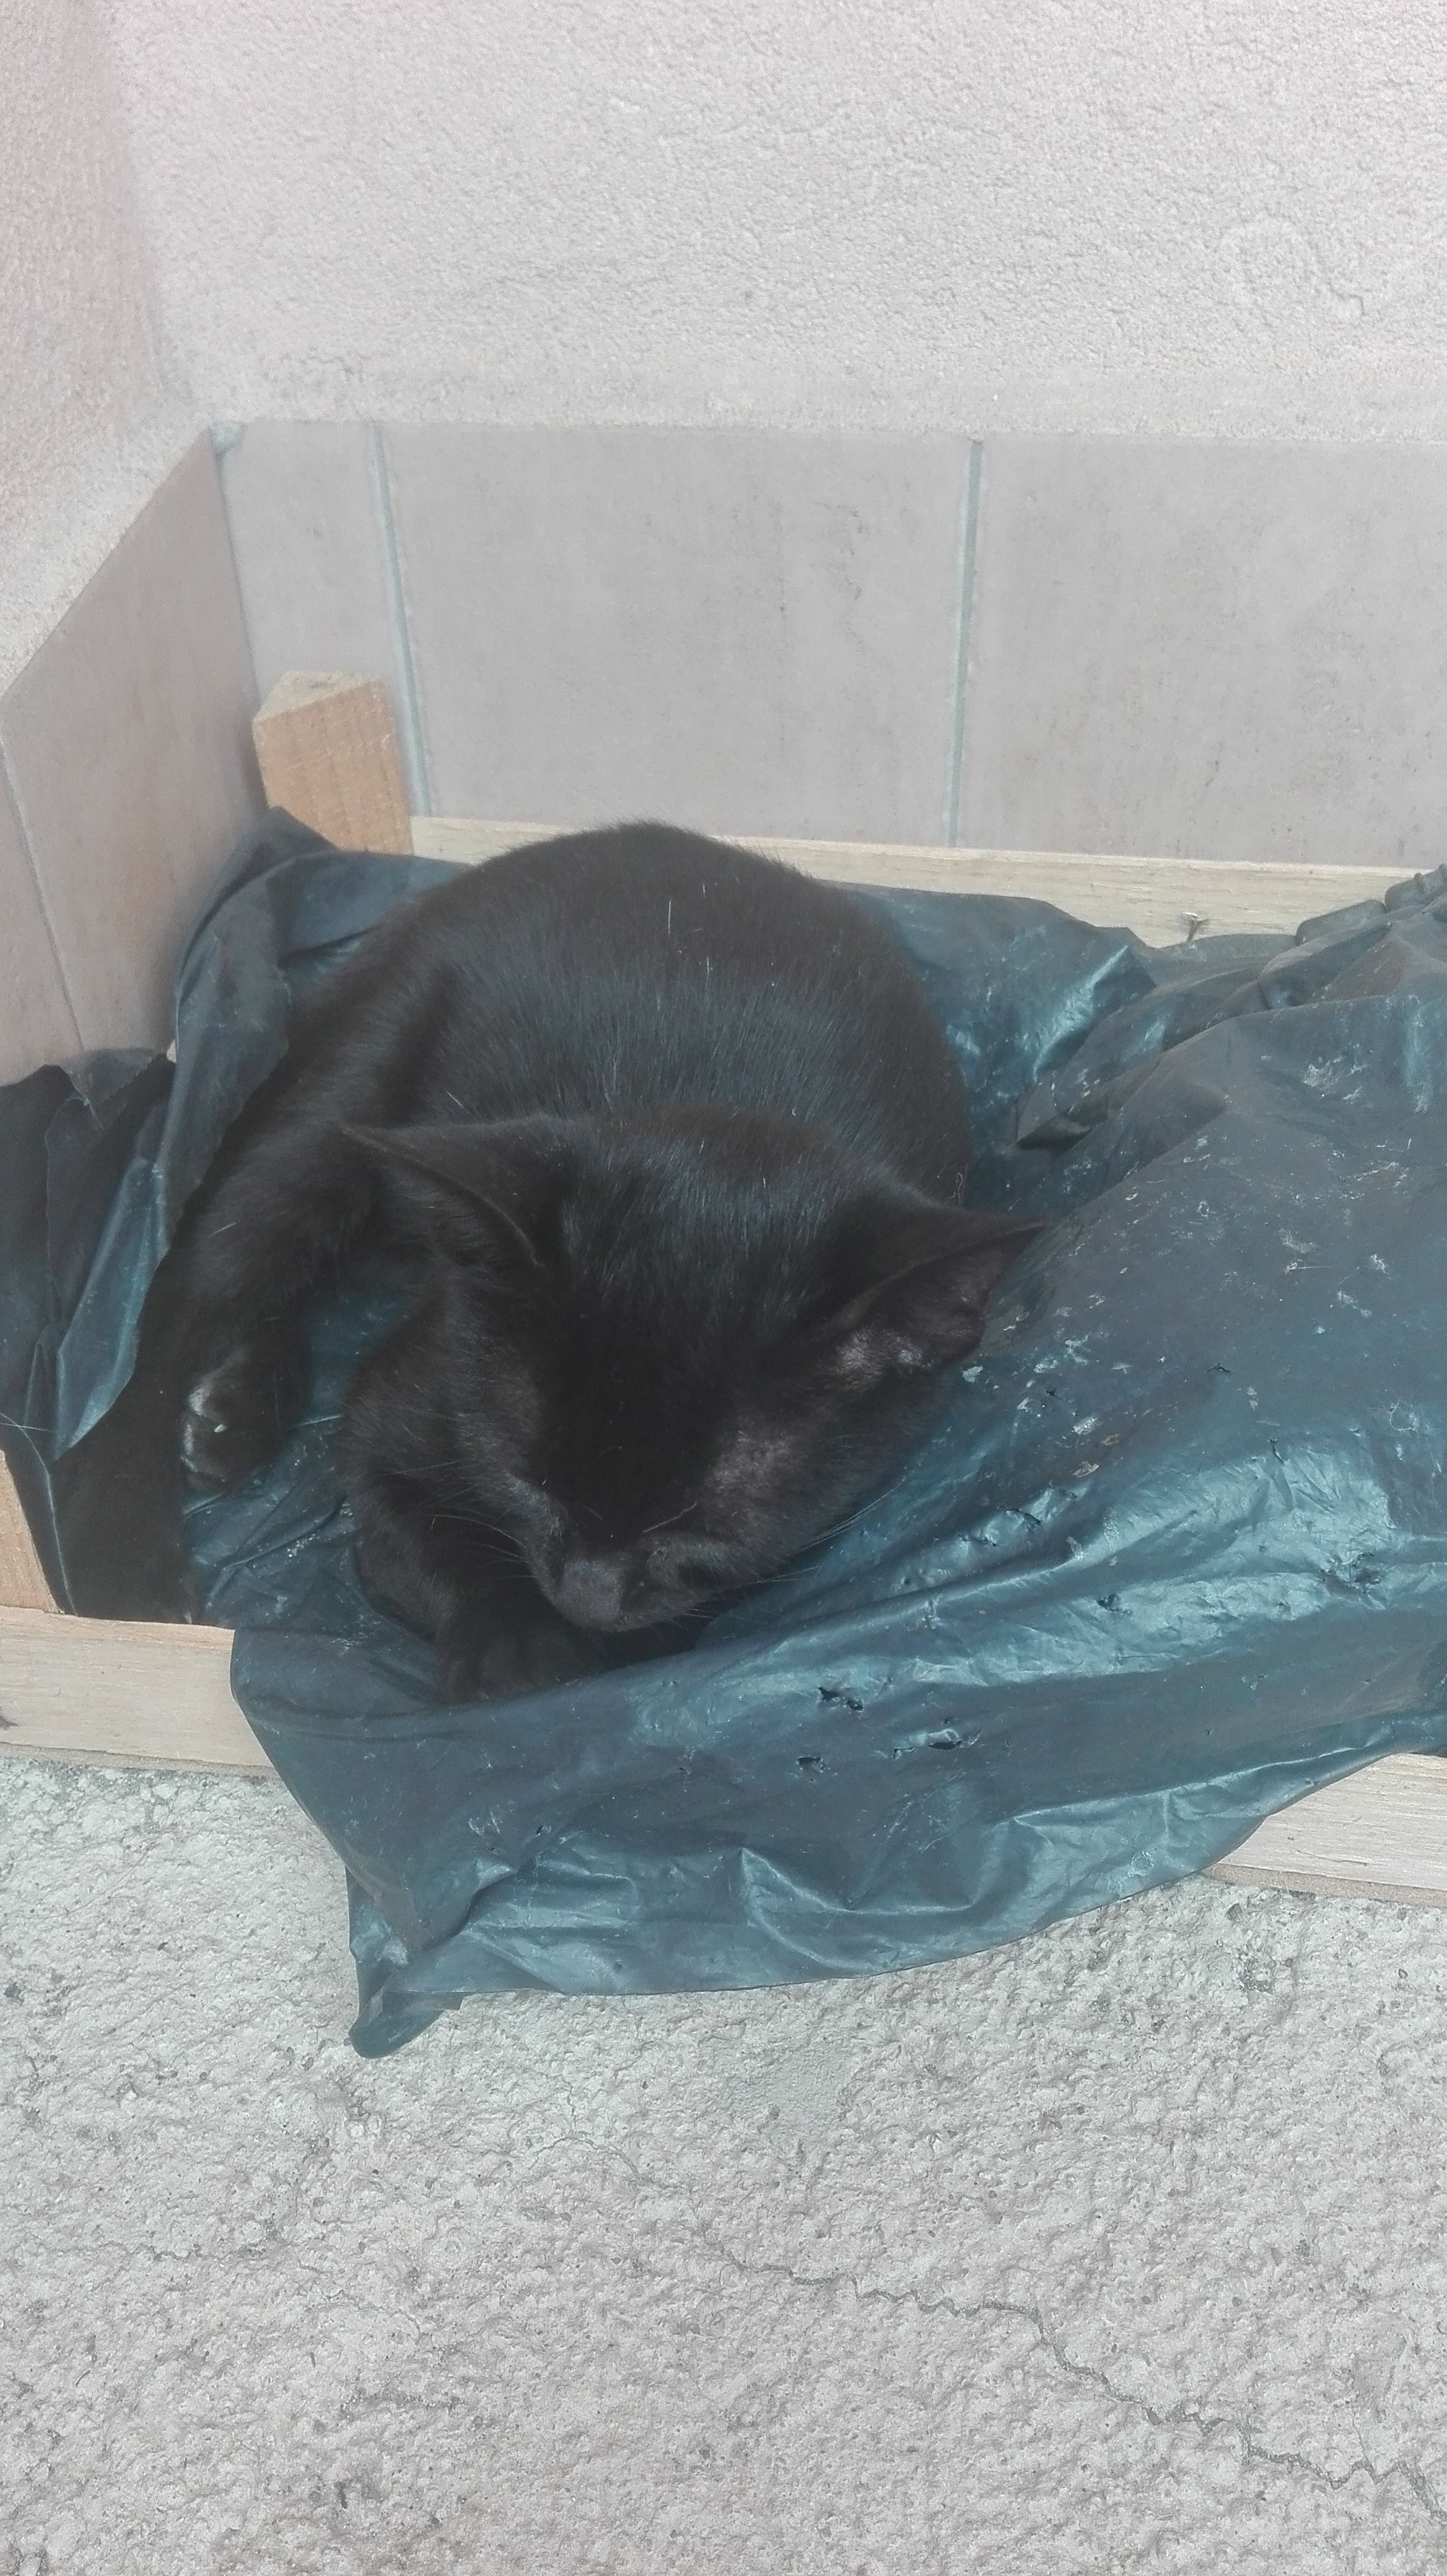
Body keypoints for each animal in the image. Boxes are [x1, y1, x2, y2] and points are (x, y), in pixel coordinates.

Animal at [62, 824, 1039, 1698]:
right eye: (525, 1485)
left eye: (703, 1541)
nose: (586, 1594)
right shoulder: (398, 1407)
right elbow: (424, 1530)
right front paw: (516, 1647)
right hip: (350, 1084)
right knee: (185, 1295)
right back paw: (122, 1550)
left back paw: (235, 1406)